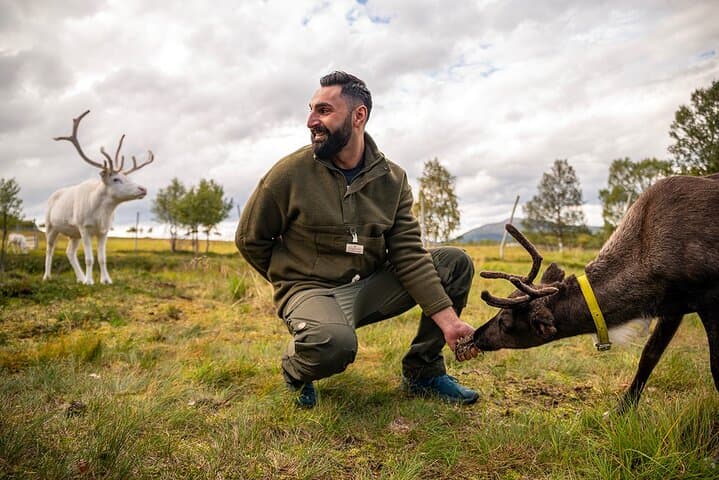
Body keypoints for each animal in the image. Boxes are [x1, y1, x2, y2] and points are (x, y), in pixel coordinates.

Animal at [43, 110, 154, 285]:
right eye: (116, 179)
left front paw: (106, 280)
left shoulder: (104, 231)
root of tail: (51, 196)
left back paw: (80, 278)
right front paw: (90, 281)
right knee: (50, 248)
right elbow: (89, 258)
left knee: (69, 252)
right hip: (51, 225)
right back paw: (47, 276)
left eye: (126, 177)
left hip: (74, 233)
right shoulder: (84, 227)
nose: (143, 189)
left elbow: (102, 258)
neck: (101, 213)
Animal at [457, 174, 719, 413]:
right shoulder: (672, 306)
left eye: (505, 321)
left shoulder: (707, 300)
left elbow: (715, 368)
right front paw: (621, 411)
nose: (476, 334)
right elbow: (649, 356)